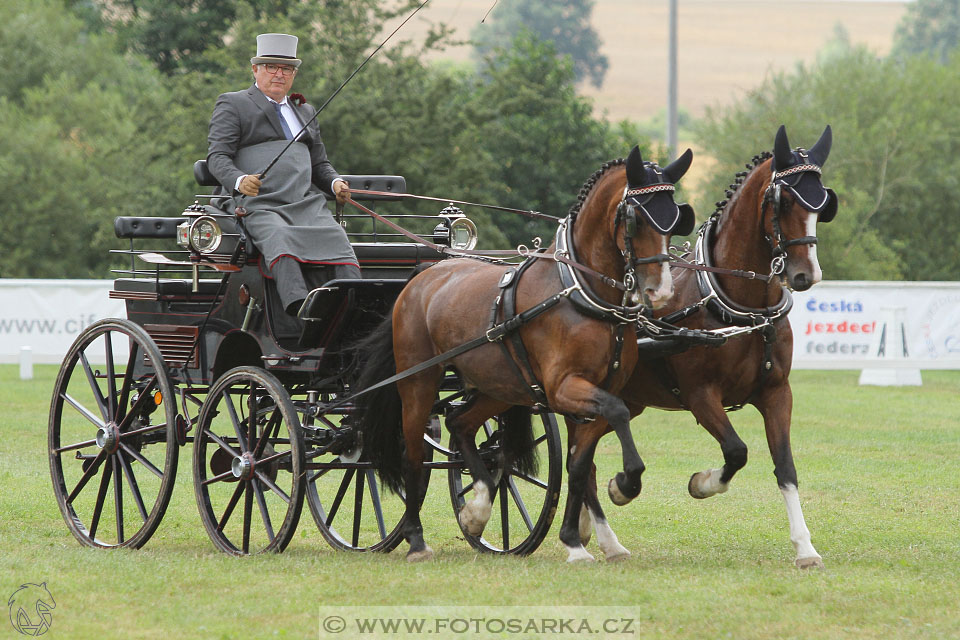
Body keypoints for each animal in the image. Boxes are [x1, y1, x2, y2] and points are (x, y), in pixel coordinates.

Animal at [356, 145, 692, 560]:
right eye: (635, 219)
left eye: (675, 219)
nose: (660, 291)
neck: (579, 293)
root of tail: (419, 280)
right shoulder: (564, 388)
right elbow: (617, 415)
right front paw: (624, 485)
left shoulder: (592, 392)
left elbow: (580, 465)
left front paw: (584, 540)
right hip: (419, 383)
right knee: (414, 457)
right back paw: (417, 540)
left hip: (499, 388)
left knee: (460, 424)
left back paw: (477, 509)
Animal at [572, 127, 836, 568]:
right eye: (783, 201)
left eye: (824, 203)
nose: (805, 274)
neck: (738, 306)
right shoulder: (701, 395)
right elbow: (736, 451)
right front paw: (702, 483)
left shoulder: (777, 392)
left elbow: (785, 467)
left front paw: (805, 548)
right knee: (581, 460)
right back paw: (606, 528)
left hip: (628, 400)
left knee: (584, 458)